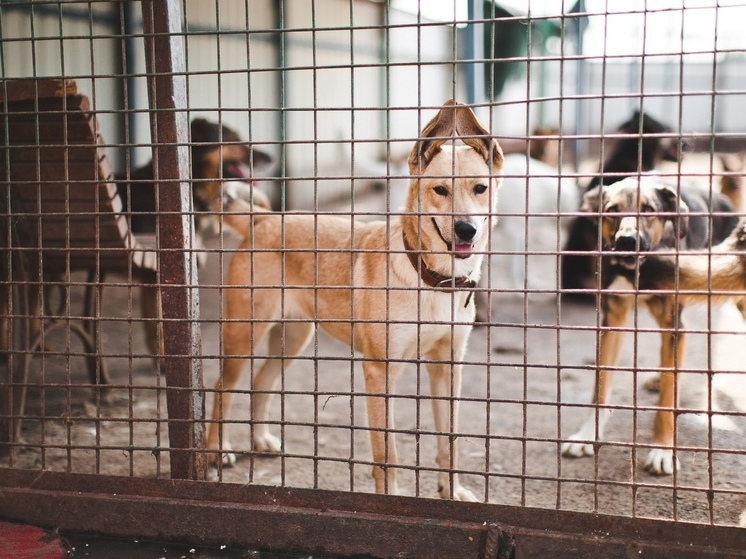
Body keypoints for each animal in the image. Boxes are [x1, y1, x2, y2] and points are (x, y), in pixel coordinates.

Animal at [206, 101, 502, 504]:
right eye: (439, 190)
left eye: (480, 188)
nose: (466, 229)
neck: (430, 279)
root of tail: (263, 220)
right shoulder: (379, 370)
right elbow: (388, 453)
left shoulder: (447, 367)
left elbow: (450, 441)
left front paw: (451, 491)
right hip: (242, 338)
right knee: (222, 387)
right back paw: (216, 450)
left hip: (292, 340)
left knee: (260, 381)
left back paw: (260, 439)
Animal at [560, 177, 740, 474]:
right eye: (611, 210)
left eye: (648, 210)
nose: (627, 241)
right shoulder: (612, 321)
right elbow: (600, 387)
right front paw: (587, 435)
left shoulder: (673, 325)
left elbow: (667, 399)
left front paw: (662, 450)